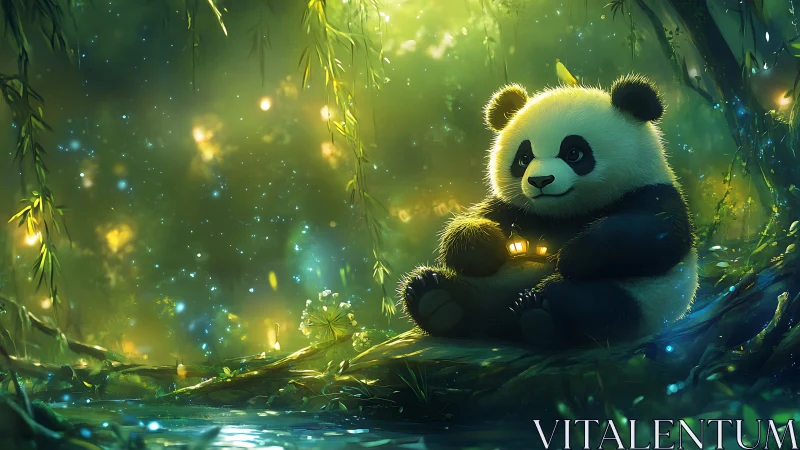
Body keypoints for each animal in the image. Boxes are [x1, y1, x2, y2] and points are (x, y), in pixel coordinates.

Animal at [399, 74, 698, 349]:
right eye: (524, 158)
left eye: (574, 153)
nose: (540, 181)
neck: (564, 213)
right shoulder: (516, 208)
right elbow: (468, 221)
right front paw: (483, 250)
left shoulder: (651, 191)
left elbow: (656, 235)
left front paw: (570, 256)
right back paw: (435, 299)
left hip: (645, 300)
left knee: (594, 305)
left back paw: (539, 312)